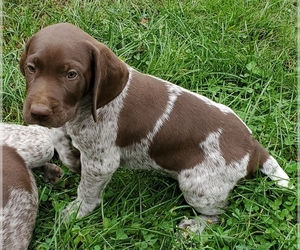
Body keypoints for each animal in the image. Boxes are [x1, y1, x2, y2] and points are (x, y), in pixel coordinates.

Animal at [19, 22, 290, 233]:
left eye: (71, 74)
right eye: (31, 68)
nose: (38, 112)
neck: (86, 107)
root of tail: (253, 146)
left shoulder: (101, 163)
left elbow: (87, 192)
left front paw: (75, 213)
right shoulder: (66, 121)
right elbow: (56, 134)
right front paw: (71, 159)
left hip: (198, 186)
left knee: (219, 215)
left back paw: (194, 227)